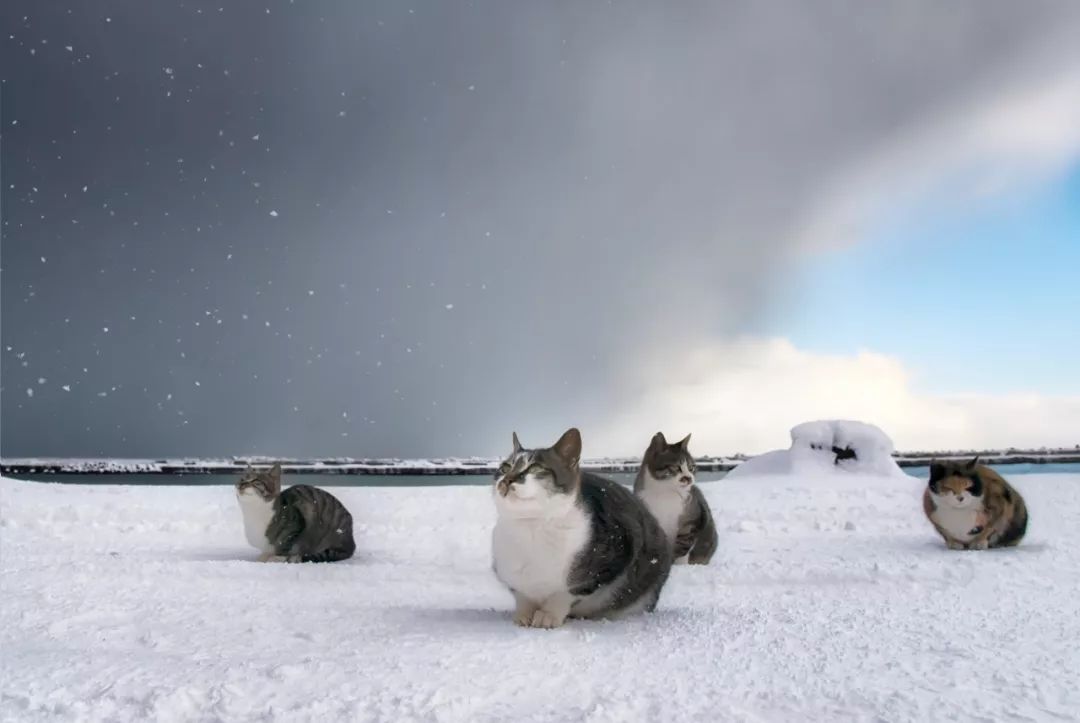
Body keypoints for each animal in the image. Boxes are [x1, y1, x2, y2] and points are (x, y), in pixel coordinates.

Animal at [492, 427, 673, 626]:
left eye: (535, 467)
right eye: (505, 467)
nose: (507, 479)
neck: (531, 526)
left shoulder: (612, 558)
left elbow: (566, 593)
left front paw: (548, 615)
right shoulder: (508, 571)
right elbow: (522, 595)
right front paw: (524, 614)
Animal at [630, 427, 717, 561]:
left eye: (691, 467)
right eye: (676, 467)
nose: (689, 478)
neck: (665, 492)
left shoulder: (692, 518)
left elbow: (683, 543)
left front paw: (675, 562)